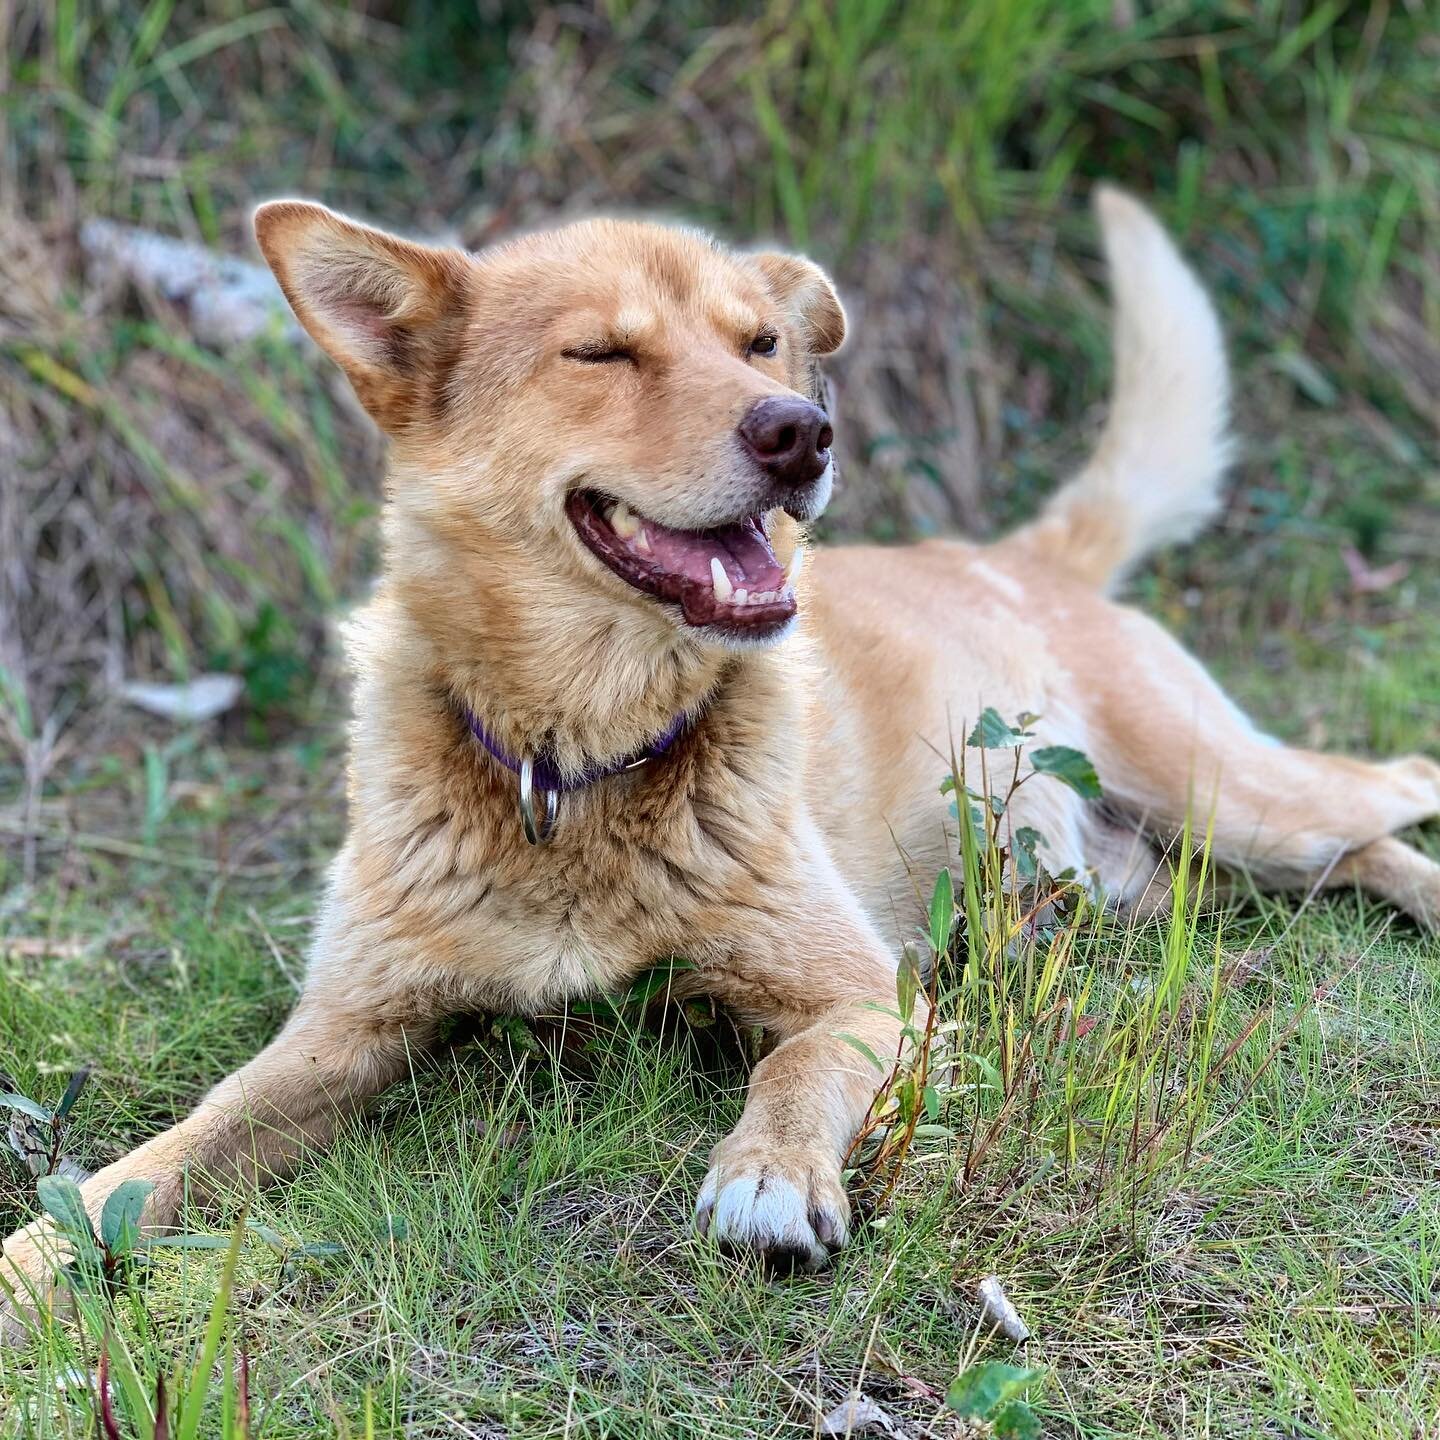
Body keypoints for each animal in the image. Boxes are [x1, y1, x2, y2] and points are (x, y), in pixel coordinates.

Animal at [2, 182, 1440, 1307]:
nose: (803, 431)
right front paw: (39, 1264)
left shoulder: (865, 996)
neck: (576, 763)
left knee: (1391, 795)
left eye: (759, 345)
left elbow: (793, 1068)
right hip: (1144, 866)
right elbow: (159, 1157)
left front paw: (767, 1177)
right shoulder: (341, 1032)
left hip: (1226, 793)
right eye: (600, 355)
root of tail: (1018, 552)